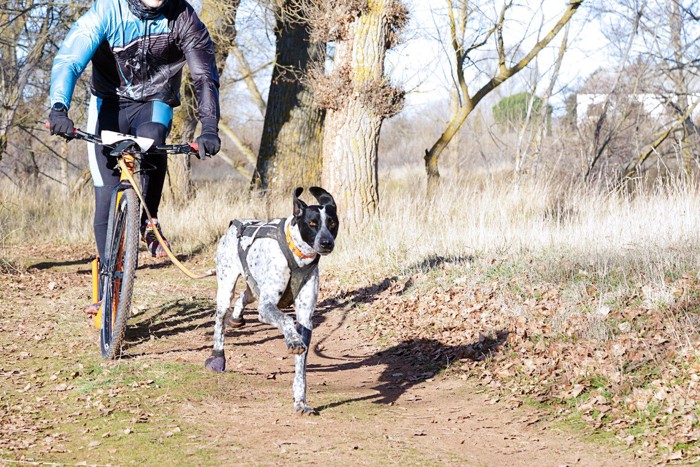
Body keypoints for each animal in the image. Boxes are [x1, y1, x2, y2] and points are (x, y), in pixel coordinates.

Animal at [205, 188, 340, 414]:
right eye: (312, 223)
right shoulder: (267, 307)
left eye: (332, 223)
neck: (298, 256)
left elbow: (301, 365)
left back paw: (237, 317)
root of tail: (237, 224)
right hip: (226, 288)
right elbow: (286, 320)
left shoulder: (305, 319)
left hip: (253, 288)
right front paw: (292, 340)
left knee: (244, 296)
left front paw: (300, 401)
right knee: (220, 322)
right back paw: (217, 356)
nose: (326, 242)